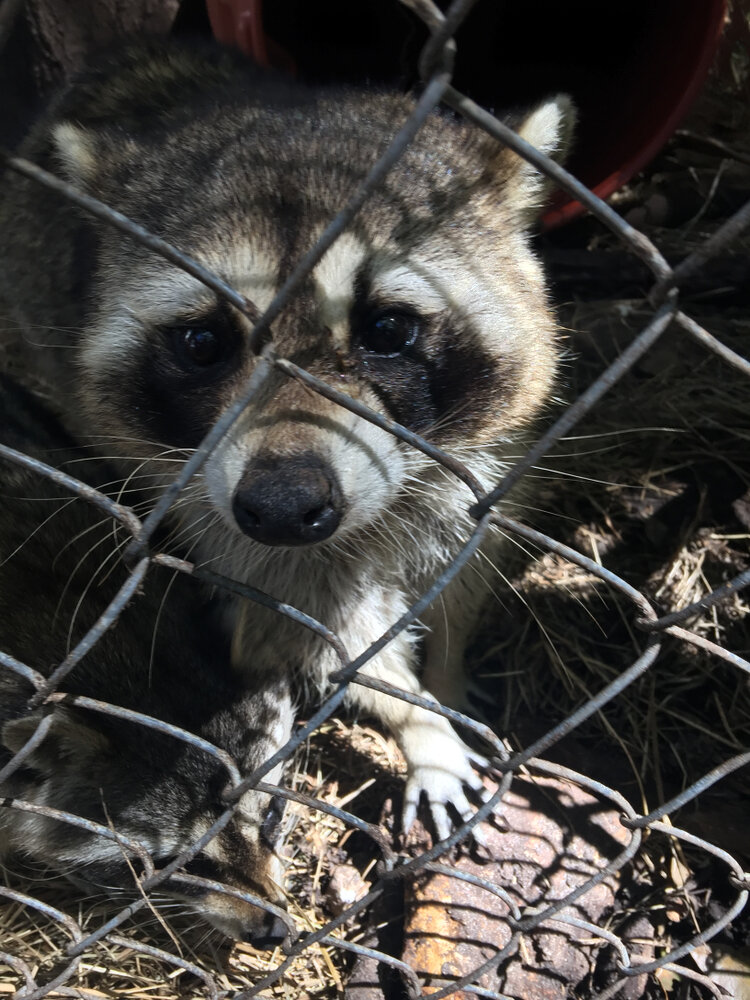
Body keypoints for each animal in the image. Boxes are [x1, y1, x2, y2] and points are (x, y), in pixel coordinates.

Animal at [0, 41, 573, 840]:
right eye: (202, 343)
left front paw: (446, 672)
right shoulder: (226, 523)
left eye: (387, 329)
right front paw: (419, 723)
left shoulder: (486, 469)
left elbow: (465, 571)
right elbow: (325, 638)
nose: (279, 507)